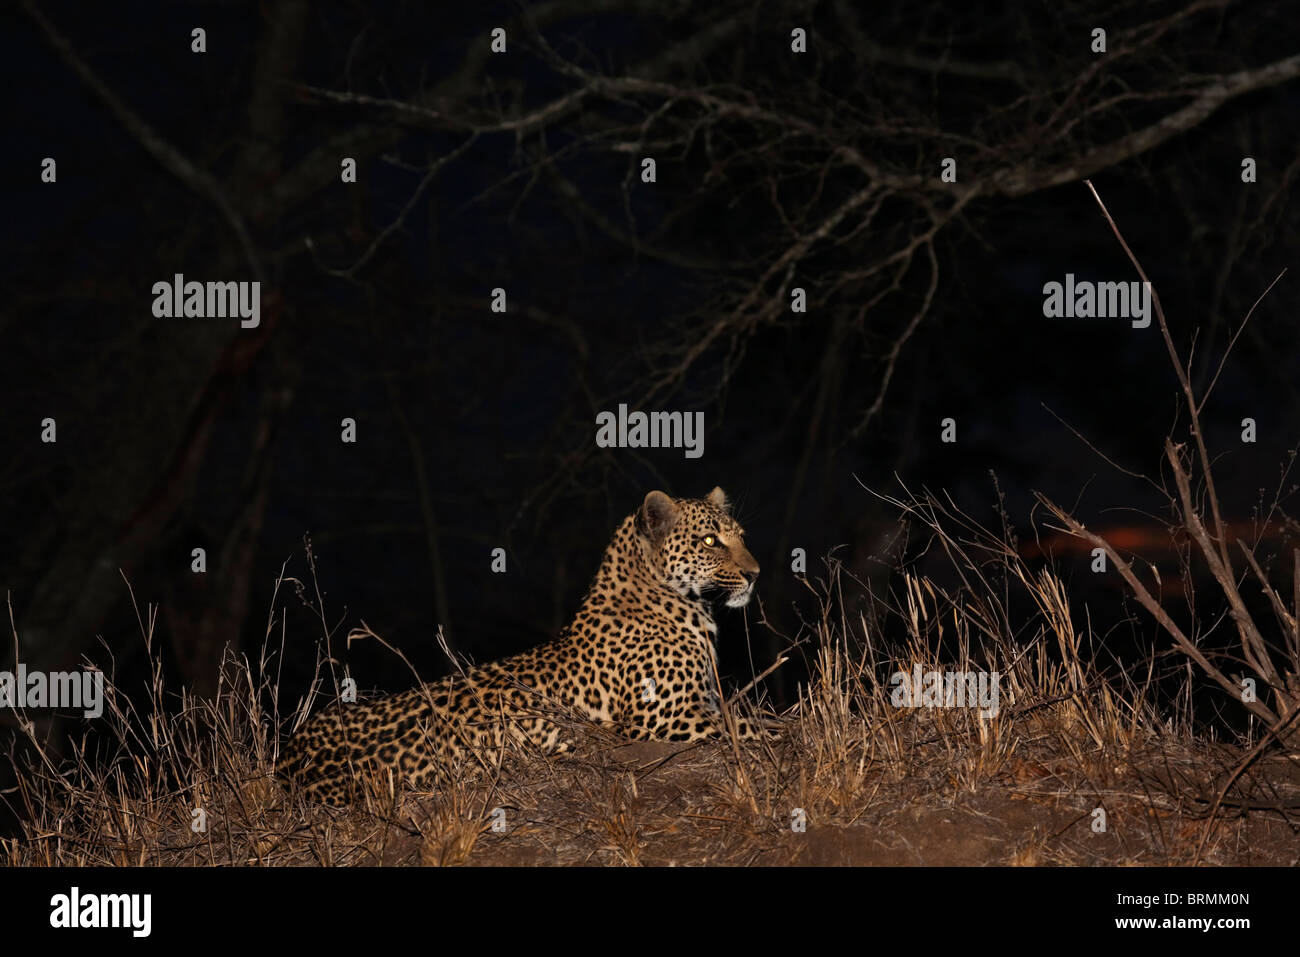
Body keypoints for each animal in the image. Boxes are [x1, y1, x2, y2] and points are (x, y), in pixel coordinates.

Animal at [277, 486, 770, 804]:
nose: (755, 574)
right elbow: (753, 727)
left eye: (743, 537)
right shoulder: (664, 721)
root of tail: (288, 760)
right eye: (710, 541)